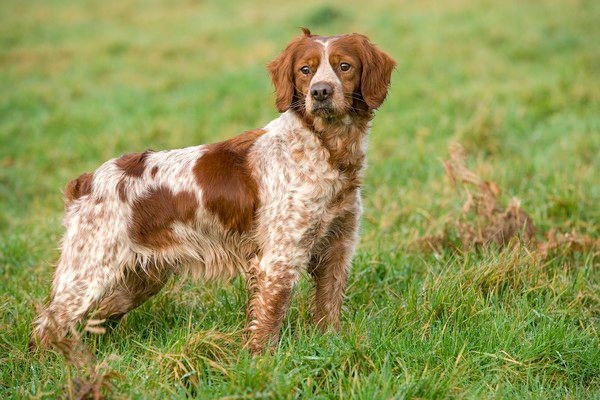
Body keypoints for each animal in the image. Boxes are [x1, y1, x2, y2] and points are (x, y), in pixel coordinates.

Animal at [31, 28, 394, 354]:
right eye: (305, 70)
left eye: (344, 66)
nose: (320, 92)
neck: (327, 150)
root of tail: (87, 182)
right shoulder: (278, 259)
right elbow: (268, 322)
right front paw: (262, 363)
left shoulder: (337, 249)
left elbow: (328, 309)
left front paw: (329, 346)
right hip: (88, 273)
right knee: (48, 325)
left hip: (137, 282)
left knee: (93, 318)